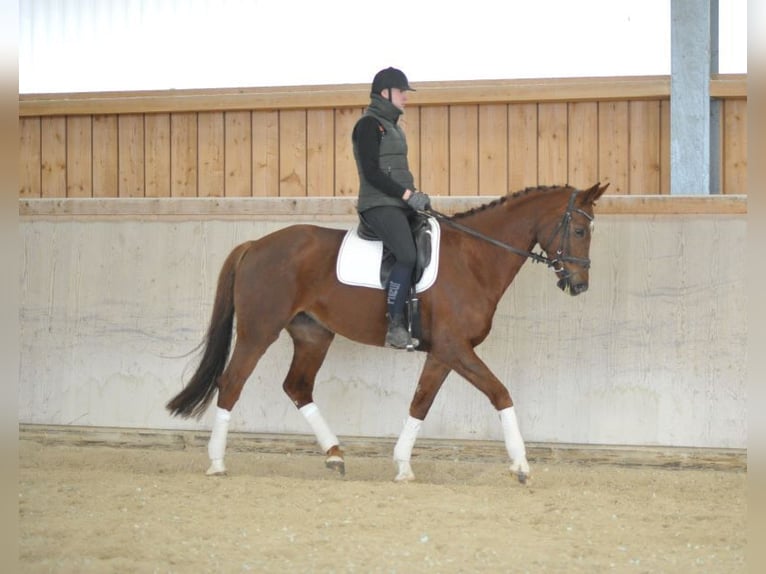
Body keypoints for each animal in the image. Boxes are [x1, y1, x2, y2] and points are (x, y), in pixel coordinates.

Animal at [168, 182, 612, 484]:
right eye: (579, 232)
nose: (580, 285)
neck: (474, 260)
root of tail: (256, 244)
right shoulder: (455, 348)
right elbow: (500, 393)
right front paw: (520, 464)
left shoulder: (443, 352)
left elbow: (420, 403)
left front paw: (402, 465)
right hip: (259, 331)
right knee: (231, 383)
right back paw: (217, 462)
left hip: (313, 335)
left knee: (297, 387)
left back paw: (334, 454)